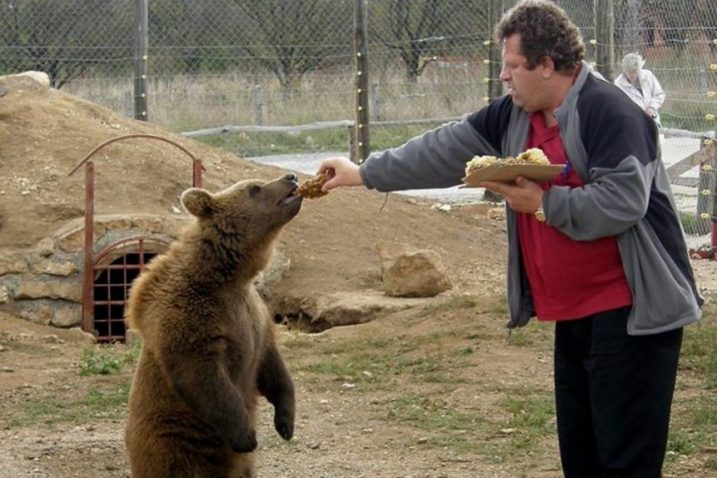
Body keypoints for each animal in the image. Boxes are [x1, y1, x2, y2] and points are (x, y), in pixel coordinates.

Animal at [124, 174, 300, 478]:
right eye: (254, 188)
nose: (290, 176)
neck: (228, 276)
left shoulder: (255, 314)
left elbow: (272, 363)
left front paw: (286, 422)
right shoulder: (189, 314)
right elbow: (203, 374)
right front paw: (246, 435)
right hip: (172, 446)